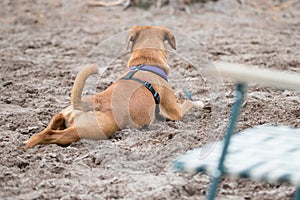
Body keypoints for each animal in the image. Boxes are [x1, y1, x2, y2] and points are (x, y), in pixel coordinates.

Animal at [24, 25, 204, 149]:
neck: (146, 62)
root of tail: (84, 104)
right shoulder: (176, 113)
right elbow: (188, 103)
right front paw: (198, 102)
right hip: (82, 132)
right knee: (52, 136)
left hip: (60, 116)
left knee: (44, 131)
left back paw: (26, 144)